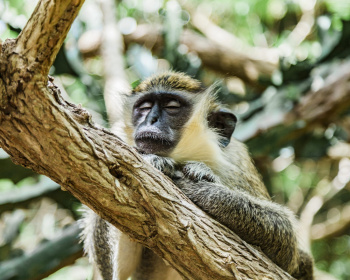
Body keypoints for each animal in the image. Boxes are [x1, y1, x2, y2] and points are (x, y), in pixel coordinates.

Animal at [80, 72, 314, 280]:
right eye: (144, 108)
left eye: (172, 107)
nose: (151, 119)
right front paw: (150, 161)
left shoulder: (237, 162)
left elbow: (286, 242)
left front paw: (201, 186)